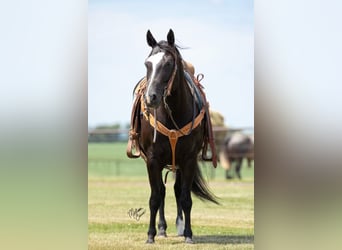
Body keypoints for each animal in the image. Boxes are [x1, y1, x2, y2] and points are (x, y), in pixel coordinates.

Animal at [128, 29, 219, 244]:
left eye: (168, 64)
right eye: (147, 63)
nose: (150, 97)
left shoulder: (189, 159)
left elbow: (185, 197)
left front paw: (188, 234)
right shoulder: (152, 159)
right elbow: (155, 196)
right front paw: (151, 235)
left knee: (177, 190)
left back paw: (179, 227)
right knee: (161, 192)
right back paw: (161, 228)